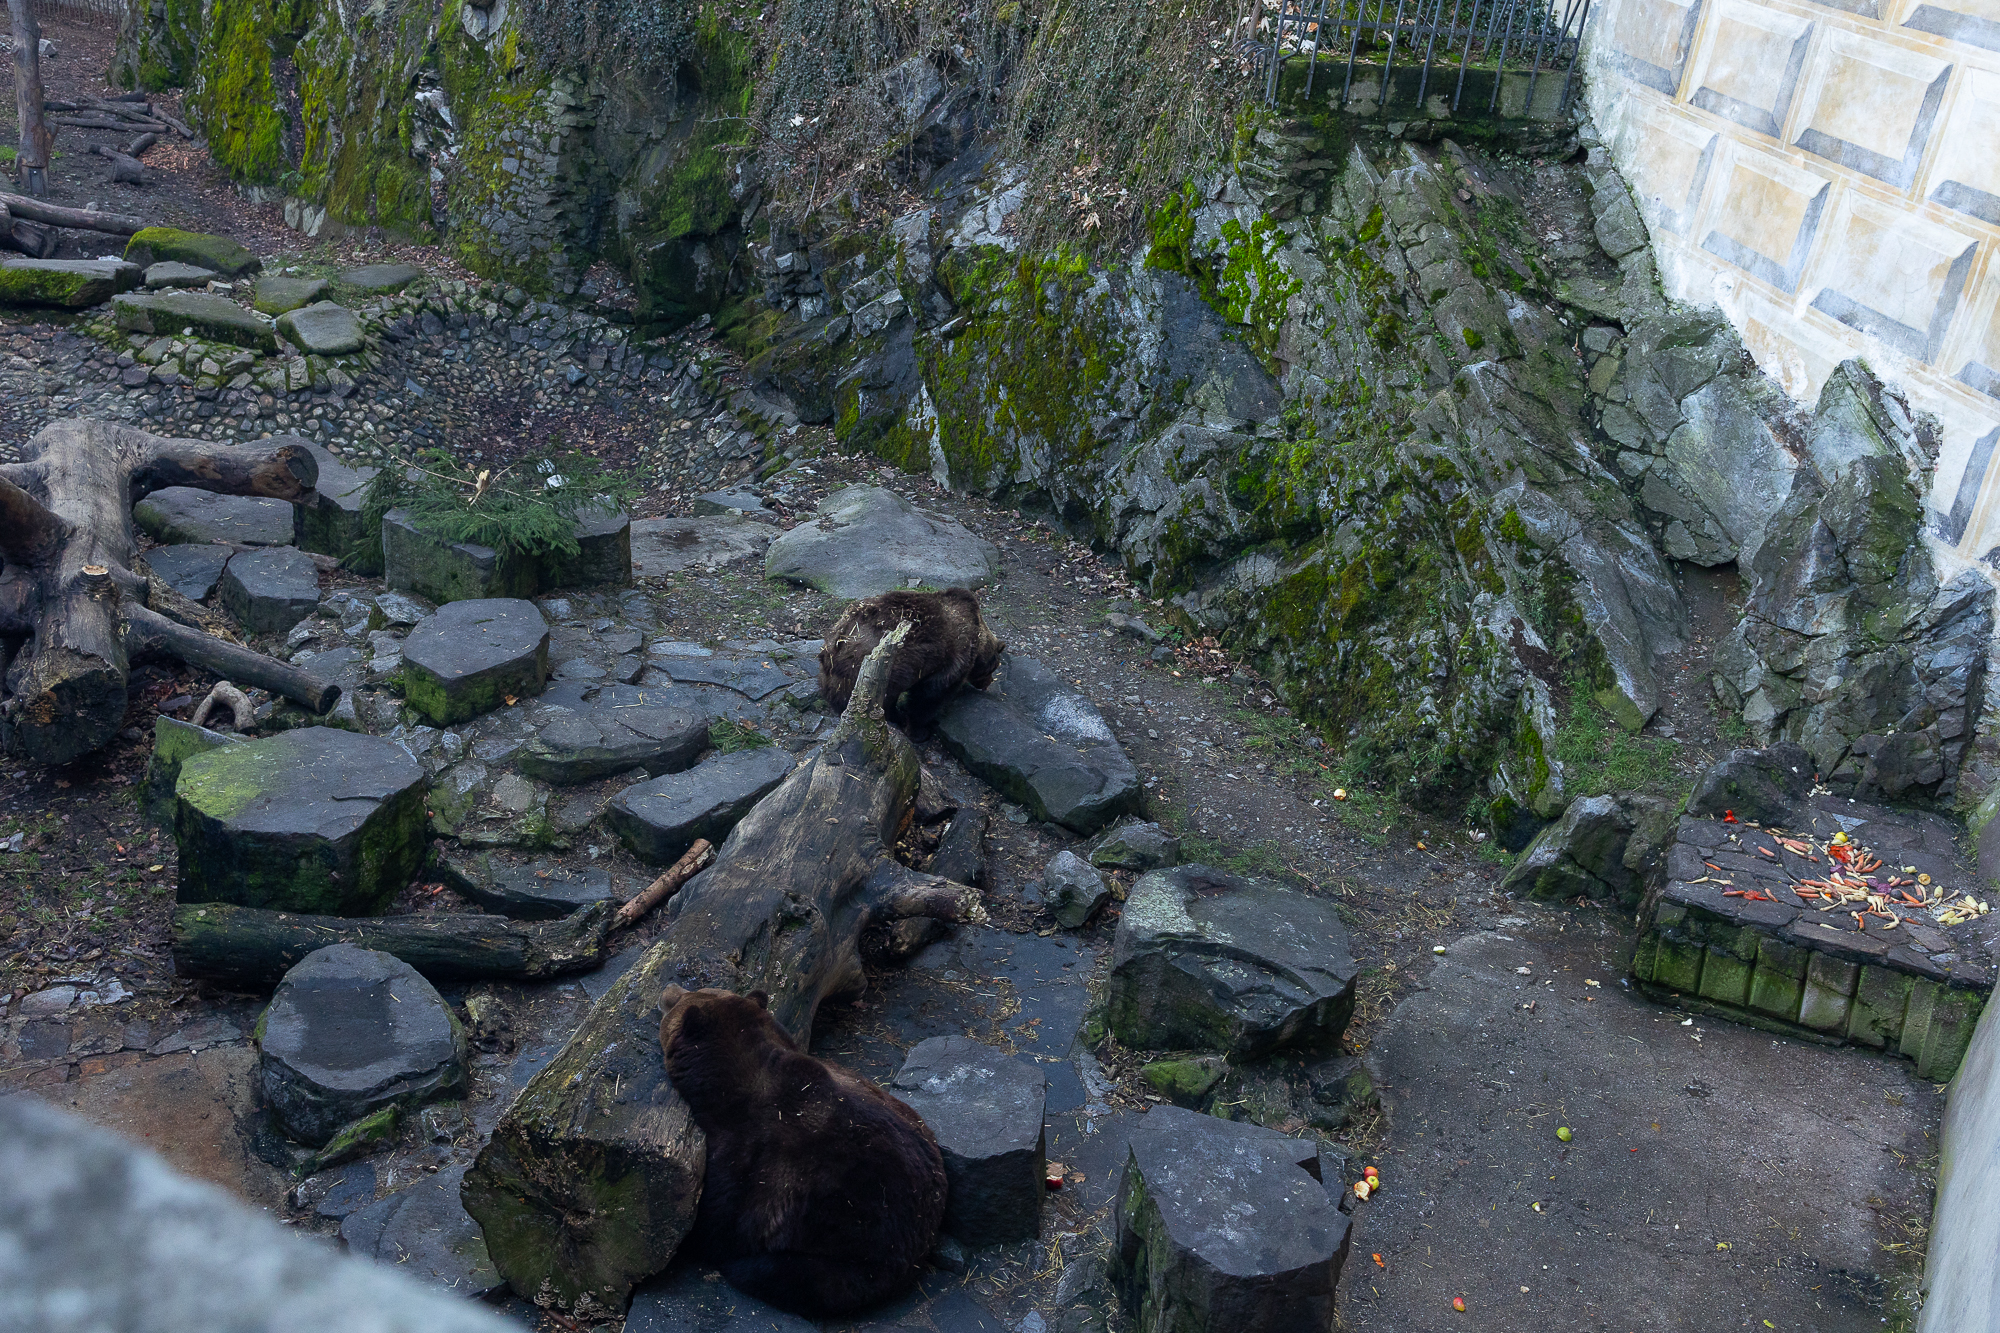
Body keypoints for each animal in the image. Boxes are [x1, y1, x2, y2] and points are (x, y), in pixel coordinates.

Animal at [658, 985, 948, 1316]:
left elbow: (715, 1222)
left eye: (681, 999)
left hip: (859, 1238)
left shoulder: (748, 1158)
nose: (668, 989)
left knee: (800, 1278)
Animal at [817, 587, 1005, 726]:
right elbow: (929, 699)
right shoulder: (951, 661)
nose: (988, 683)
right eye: (994, 667)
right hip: (871, 672)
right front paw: (919, 726)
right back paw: (895, 717)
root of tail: (834, 646)